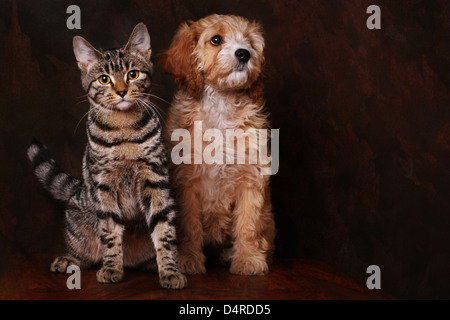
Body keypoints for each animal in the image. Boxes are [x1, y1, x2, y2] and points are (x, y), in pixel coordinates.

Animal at [27, 22, 186, 288]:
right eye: (104, 79)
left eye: (133, 74)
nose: (121, 91)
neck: (124, 129)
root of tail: (78, 189)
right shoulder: (104, 185)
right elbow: (110, 233)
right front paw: (111, 267)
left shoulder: (156, 180)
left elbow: (164, 231)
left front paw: (170, 270)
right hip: (78, 225)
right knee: (86, 255)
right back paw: (69, 260)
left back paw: (159, 263)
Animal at [160, 14, 276, 276]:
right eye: (216, 39)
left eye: (249, 41)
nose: (244, 53)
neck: (222, 102)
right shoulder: (186, 182)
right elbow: (189, 225)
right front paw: (188, 258)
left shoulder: (251, 178)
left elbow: (249, 223)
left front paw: (248, 258)